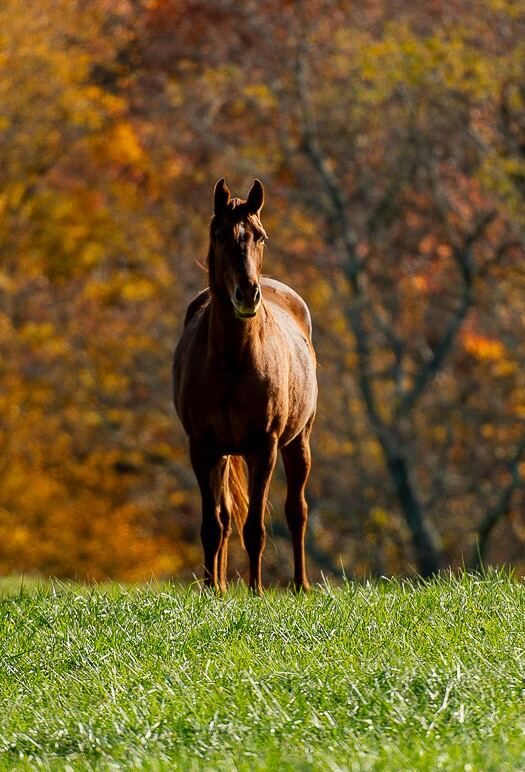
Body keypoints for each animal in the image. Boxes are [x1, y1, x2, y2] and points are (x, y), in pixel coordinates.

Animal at [173, 178, 317, 594]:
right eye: (219, 235)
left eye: (260, 236)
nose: (248, 294)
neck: (233, 362)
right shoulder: (202, 446)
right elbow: (213, 524)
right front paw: (211, 590)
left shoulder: (263, 447)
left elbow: (255, 528)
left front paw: (256, 591)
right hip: (222, 454)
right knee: (223, 517)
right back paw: (219, 585)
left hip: (298, 442)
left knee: (297, 511)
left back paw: (301, 585)